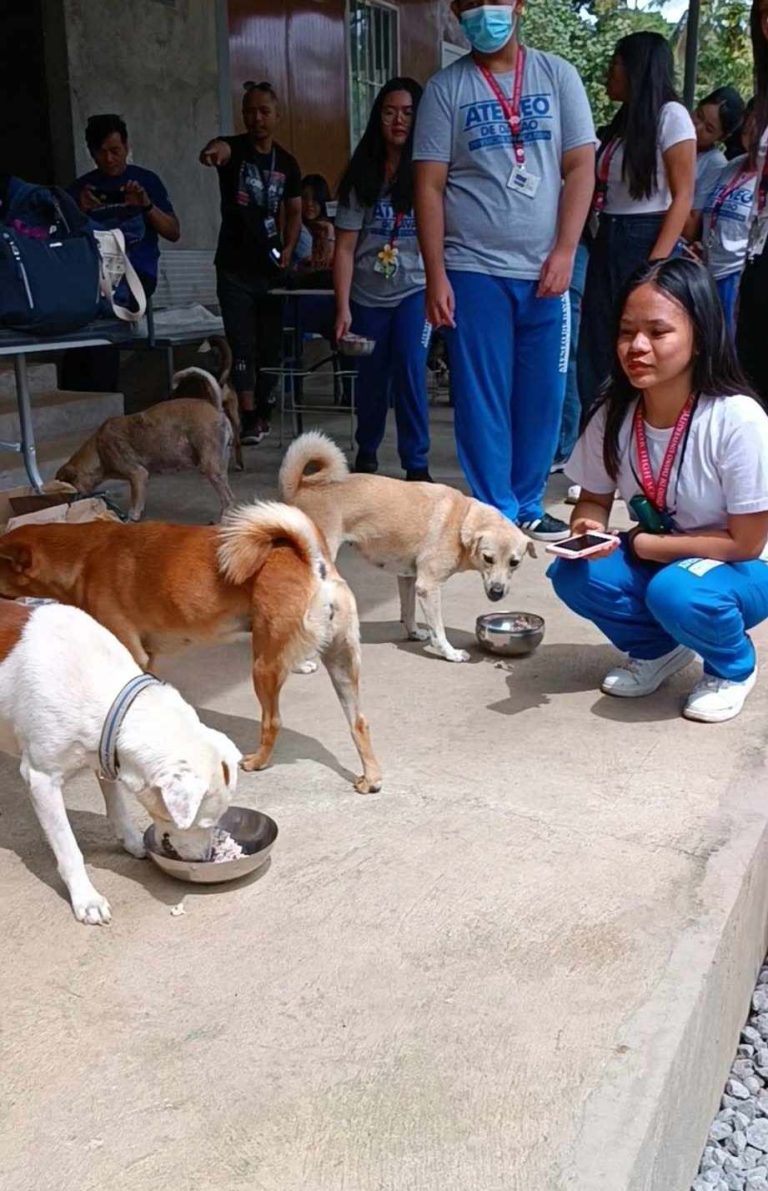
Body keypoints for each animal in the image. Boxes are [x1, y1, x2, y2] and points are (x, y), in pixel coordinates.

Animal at [0, 502, 383, 790]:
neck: (82, 554)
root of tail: (313, 562)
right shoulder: (147, 659)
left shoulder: (132, 652)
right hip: (342, 663)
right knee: (359, 722)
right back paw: (371, 777)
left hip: (264, 665)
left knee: (272, 721)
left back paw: (258, 761)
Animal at [278, 433, 535, 666]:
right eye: (487, 558)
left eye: (514, 562)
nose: (497, 593)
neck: (462, 519)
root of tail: (300, 488)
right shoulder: (429, 586)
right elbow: (438, 628)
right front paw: (450, 653)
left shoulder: (410, 578)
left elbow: (408, 611)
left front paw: (414, 633)